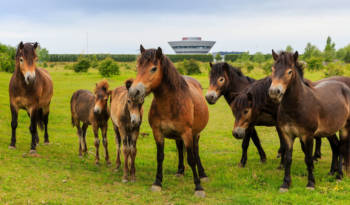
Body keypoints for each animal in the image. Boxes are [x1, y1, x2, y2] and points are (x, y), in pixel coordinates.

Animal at [128, 45, 208, 197]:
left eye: (153, 68)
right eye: (137, 66)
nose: (134, 92)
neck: (171, 104)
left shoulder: (187, 133)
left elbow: (191, 158)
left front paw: (199, 187)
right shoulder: (158, 132)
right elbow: (160, 156)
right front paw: (157, 183)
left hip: (195, 134)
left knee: (196, 150)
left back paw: (202, 174)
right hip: (178, 136)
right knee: (180, 148)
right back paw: (180, 171)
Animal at [268, 50, 350, 191]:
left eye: (289, 72)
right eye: (273, 69)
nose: (274, 92)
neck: (297, 105)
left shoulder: (308, 136)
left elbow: (308, 159)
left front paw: (311, 183)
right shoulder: (288, 135)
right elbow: (288, 159)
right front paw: (285, 184)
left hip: (345, 128)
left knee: (343, 148)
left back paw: (339, 176)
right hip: (330, 130)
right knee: (337, 146)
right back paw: (333, 172)